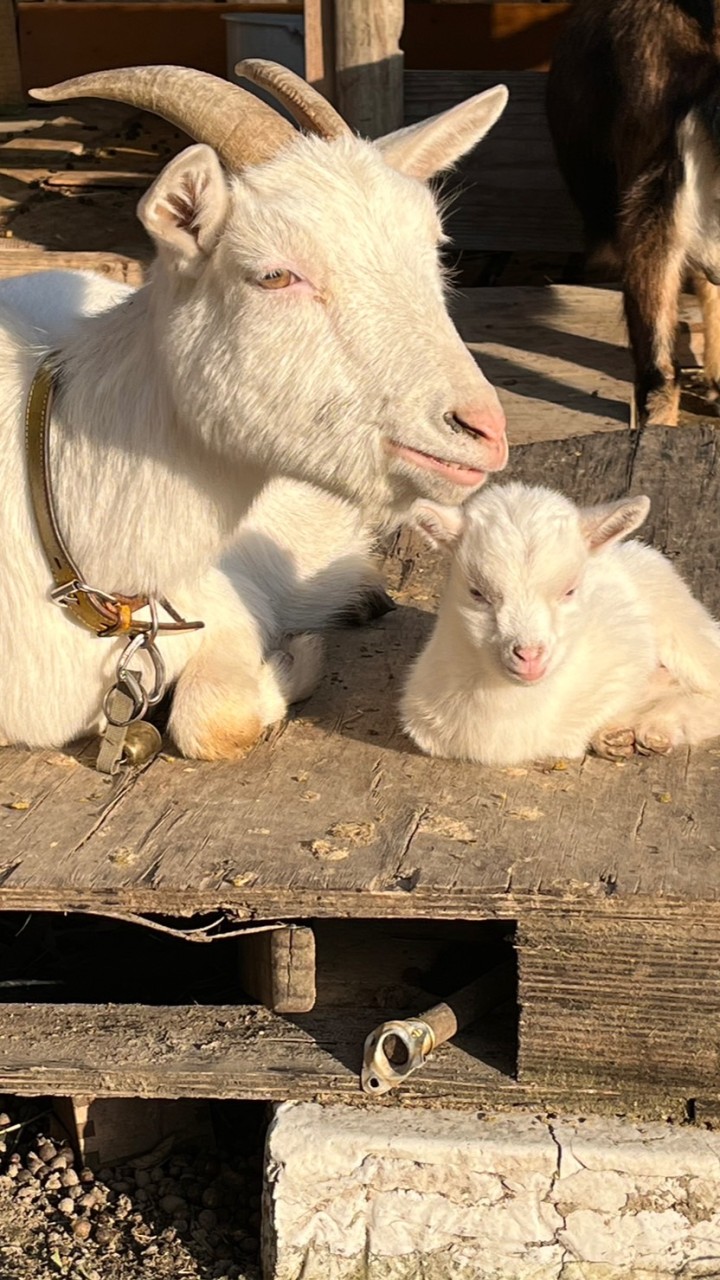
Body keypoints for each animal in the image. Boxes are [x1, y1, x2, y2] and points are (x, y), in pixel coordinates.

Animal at [0, 60, 509, 752]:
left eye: (433, 251)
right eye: (274, 275)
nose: (483, 429)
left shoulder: (222, 601)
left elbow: (212, 717)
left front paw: (297, 657)